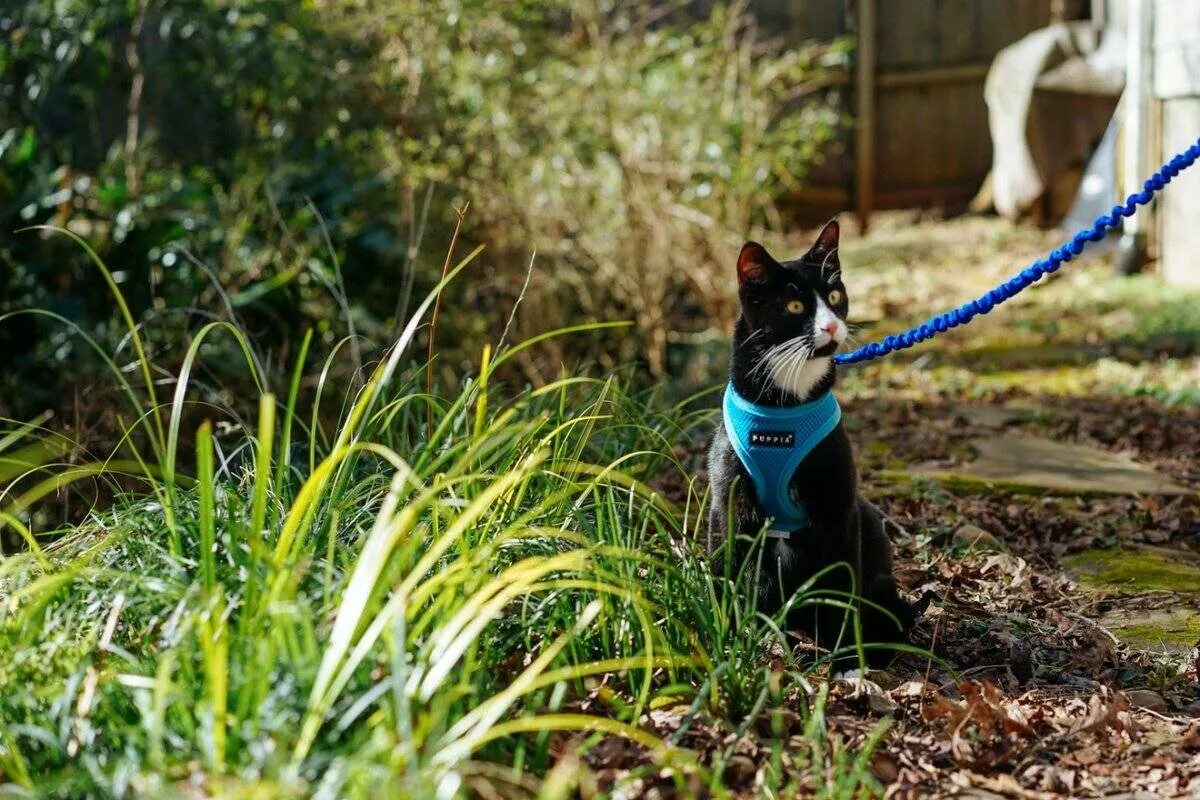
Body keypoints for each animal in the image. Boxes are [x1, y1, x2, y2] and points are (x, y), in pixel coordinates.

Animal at [705, 220, 912, 676]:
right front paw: (728, 637)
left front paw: (846, 660)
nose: (832, 327)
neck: (784, 409)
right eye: (795, 306)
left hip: (870, 534)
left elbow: (841, 583)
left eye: (834, 297)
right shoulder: (730, 499)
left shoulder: (838, 503)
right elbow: (731, 564)